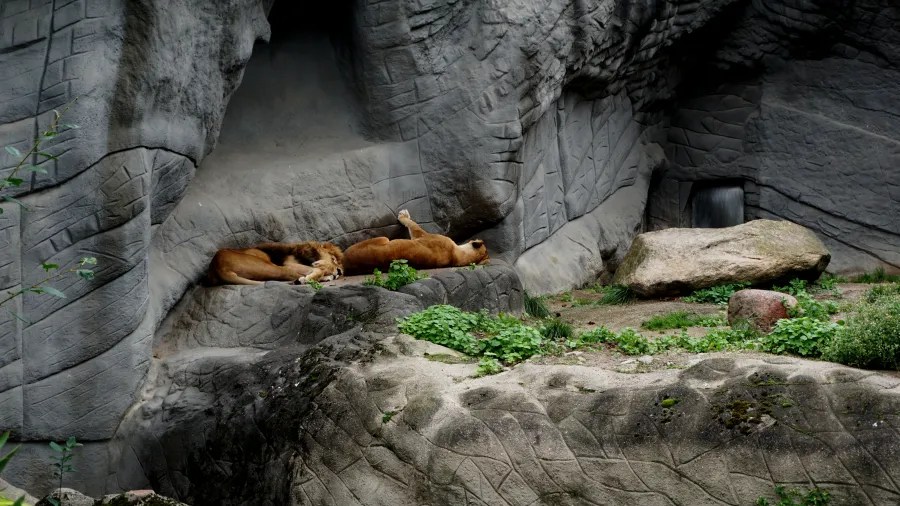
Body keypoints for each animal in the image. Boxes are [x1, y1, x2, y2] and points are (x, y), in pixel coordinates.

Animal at [206, 241, 344, 286]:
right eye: (333, 259)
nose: (340, 271)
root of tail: (217, 267)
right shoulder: (289, 263)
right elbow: (318, 270)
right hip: (273, 267)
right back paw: (301, 280)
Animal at [342, 210, 490, 275]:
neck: (456, 254)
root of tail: (346, 262)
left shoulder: (422, 235)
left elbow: (413, 225)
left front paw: (403, 215)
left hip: (383, 238)